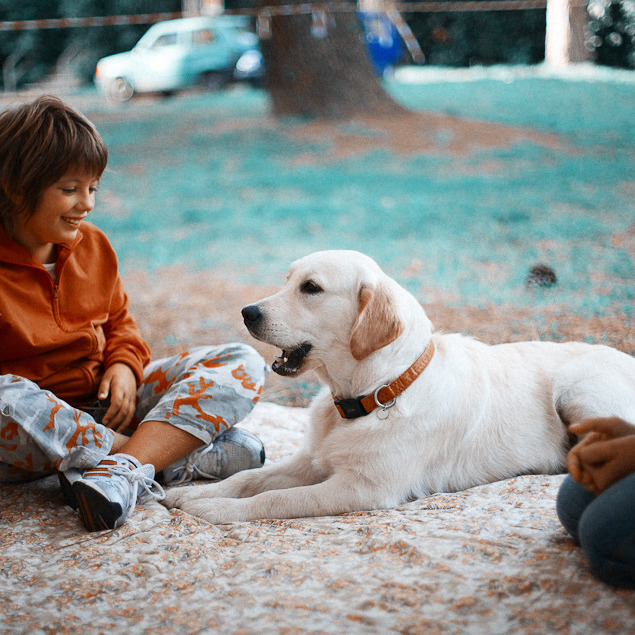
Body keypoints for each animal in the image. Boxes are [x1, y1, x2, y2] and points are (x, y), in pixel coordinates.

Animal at [163, 251, 635, 524]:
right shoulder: (312, 461)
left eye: (310, 288)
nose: (247, 312)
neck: (378, 390)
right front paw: (191, 493)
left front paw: (215, 508)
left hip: (579, 393)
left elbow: (275, 500)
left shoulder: (363, 488)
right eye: (288, 280)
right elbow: (252, 478)